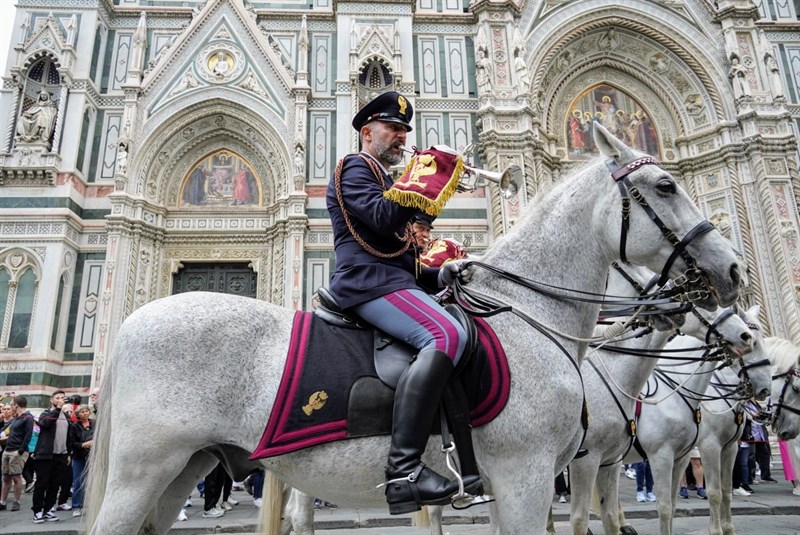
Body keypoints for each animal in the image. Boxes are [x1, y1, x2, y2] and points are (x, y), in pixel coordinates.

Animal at [84, 124, 740, 535]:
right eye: (665, 186)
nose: (731, 269)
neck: (529, 314)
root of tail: (130, 323)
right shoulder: (527, 478)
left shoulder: (516, 484)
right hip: (141, 471)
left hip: (183, 468)